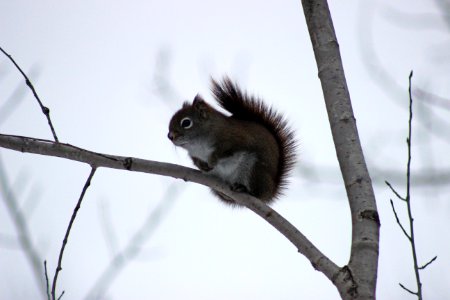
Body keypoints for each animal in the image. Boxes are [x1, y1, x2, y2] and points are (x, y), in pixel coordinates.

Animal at [167, 76, 298, 205]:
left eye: (186, 123)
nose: (170, 136)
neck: (198, 145)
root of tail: (271, 192)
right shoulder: (193, 154)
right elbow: (195, 161)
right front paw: (202, 165)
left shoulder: (235, 139)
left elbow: (224, 152)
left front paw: (212, 160)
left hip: (254, 170)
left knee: (257, 192)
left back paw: (244, 189)